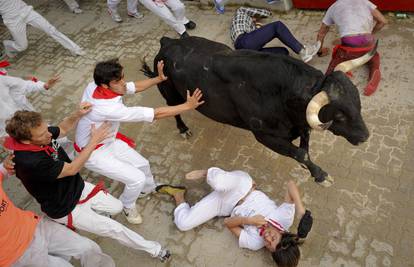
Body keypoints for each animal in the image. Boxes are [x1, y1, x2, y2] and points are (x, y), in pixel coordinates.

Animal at [142, 36, 368, 186]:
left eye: (358, 102)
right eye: (339, 115)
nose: (365, 136)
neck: (282, 94)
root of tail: (168, 42)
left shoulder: (302, 125)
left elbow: (304, 148)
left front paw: (313, 171)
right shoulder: (264, 135)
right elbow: (301, 153)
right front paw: (321, 176)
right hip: (170, 92)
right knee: (173, 109)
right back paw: (183, 129)